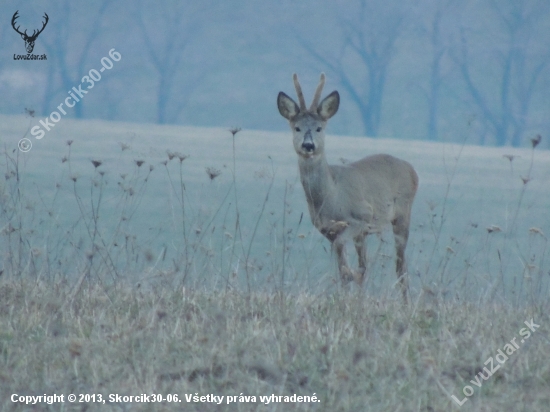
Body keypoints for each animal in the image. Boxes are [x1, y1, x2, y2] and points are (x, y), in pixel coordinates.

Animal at [278, 72, 420, 302]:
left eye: (319, 128)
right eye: (296, 127)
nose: (308, 145)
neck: (331, 197)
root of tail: (411, 169)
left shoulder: (360, 219)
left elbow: (348, 268)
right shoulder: (328, 230)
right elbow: (344, 270)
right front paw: (344, 298)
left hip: (402, 214)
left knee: (400, 268)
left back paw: (405, 303)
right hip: (366, 234)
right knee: (372, 265)